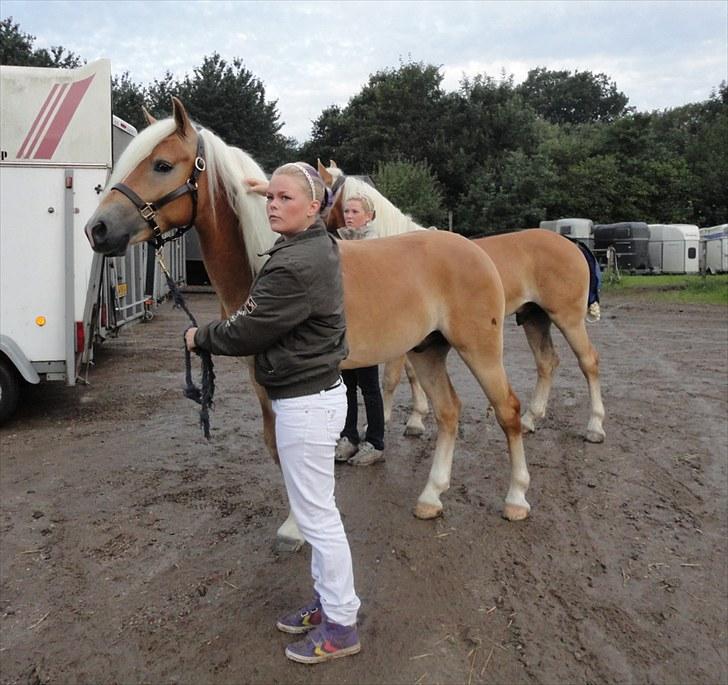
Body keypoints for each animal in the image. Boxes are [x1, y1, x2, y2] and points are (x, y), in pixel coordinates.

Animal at [84, 100, 528, 552]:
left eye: (162, 165)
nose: (97, 229)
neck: (263, 263)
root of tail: (474, 250)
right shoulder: (263, 381)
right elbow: (277, 447)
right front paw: (295, 523)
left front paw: (299, 528)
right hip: (427, 350)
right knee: (448, 412)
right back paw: (431, 497)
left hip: (479, 349)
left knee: (508, 410)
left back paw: (516, 500)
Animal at [322, 161, 604, 444]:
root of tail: (572, 244)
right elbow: (413, 375)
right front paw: (416, 419)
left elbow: (391, 379)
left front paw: (384, 424)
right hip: (535, 317)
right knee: (546, 362)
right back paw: (529, 420)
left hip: (567, 318)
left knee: (588, 361)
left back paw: (595, 426)